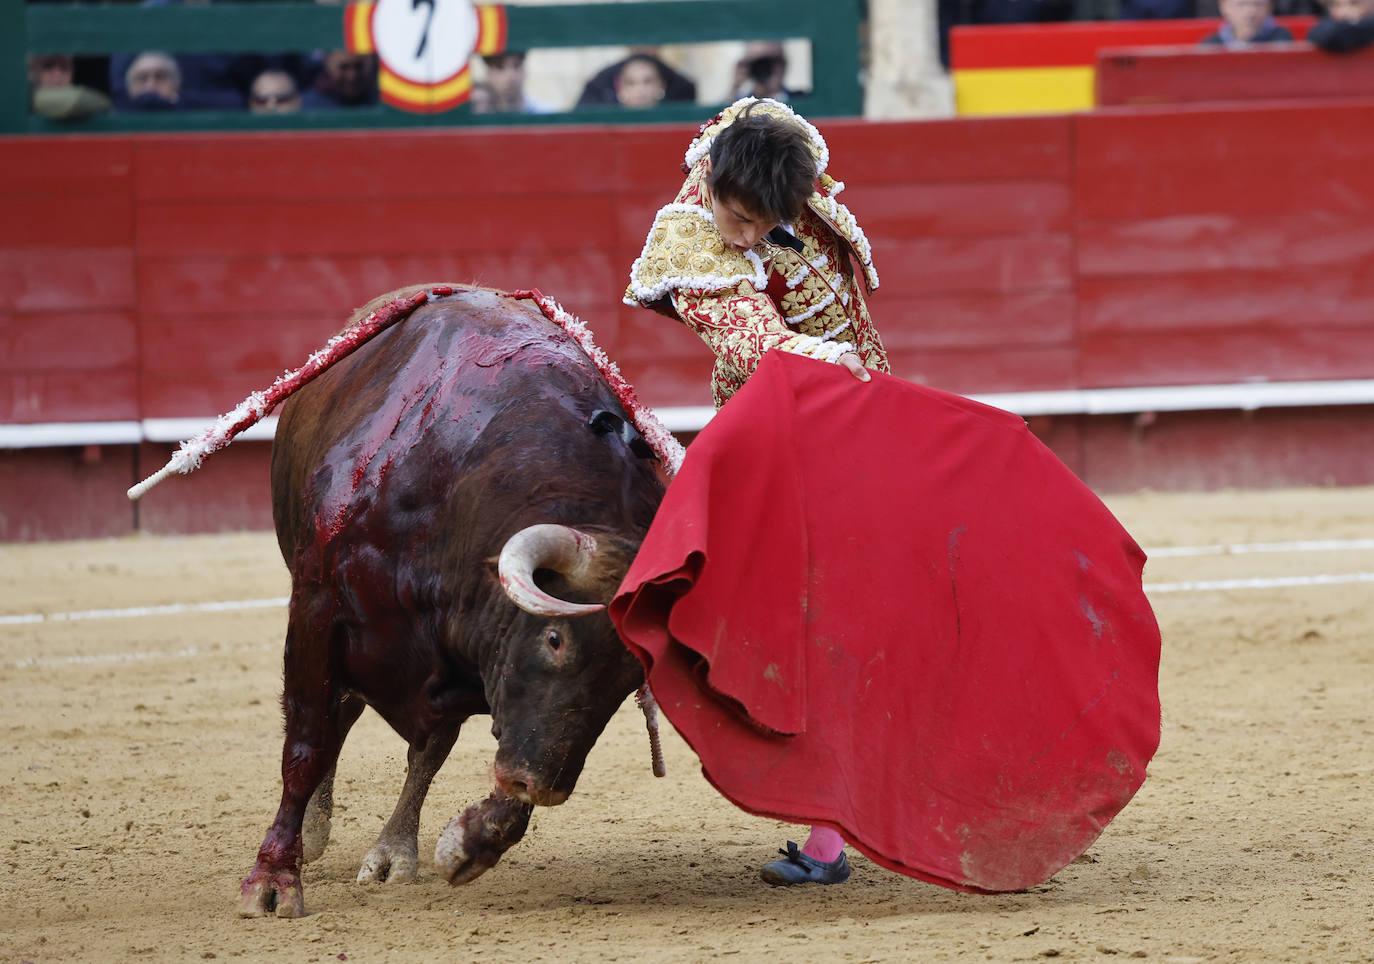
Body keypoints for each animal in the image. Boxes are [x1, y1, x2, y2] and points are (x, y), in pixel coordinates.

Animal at [239, 287, 667, 922]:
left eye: (630, 677)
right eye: (555, 638)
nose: (547, 787)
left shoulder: (479, 666)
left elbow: (473, 753)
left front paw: (467, 844)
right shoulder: (315, 611)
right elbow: (307, 742)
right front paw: (272, 880)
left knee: (424, 748)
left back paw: (393, 853)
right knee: (332, 719)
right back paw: (314, 832)